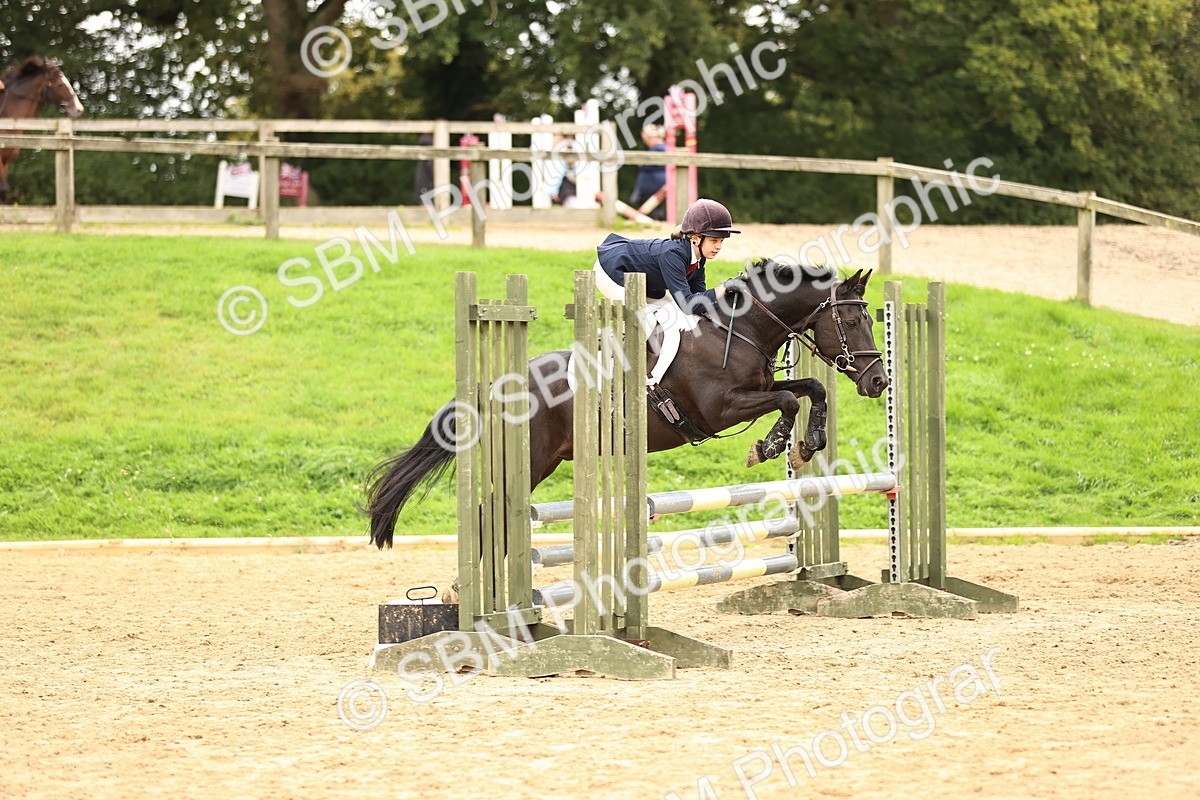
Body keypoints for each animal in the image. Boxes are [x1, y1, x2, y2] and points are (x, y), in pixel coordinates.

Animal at [364, 262, 889, 547]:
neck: (739, 330)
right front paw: (772, 446)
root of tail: (492, 386)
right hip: (527, 462)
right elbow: (785, 400)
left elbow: (811, 389)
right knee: (490, 515)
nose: (879, 381)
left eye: (871, 321)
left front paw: (808, 444)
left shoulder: (760, 386)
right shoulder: (720, 409)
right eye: (853, 323)